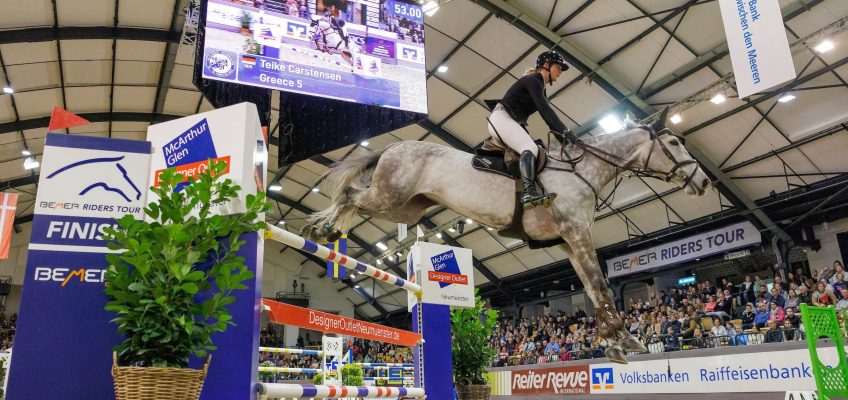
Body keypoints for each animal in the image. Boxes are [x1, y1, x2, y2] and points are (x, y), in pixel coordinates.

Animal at [302, 111, 712, 364]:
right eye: (675, 144)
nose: (705, 182)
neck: (586, 170)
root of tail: (394, 145)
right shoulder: (577, 232)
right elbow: (601, 285)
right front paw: (624, 340)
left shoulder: (569, 240)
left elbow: (595, 289)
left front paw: (616, 342)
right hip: (390, 196)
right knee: (350, 194)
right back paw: (321, 228)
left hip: (404, 208)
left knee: (357, 199)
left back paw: (327, 228)